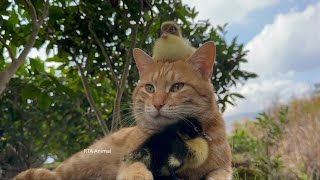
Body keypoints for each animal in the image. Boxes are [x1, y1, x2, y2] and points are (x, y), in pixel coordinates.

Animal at [15, 41, 231, 179]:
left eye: (177, 87)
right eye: (150, 88)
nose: (157, 104)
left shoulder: (224, 169)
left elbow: (217, 176)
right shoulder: (134, 158)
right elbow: (136, 172)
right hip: (81, 161)